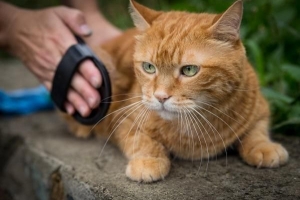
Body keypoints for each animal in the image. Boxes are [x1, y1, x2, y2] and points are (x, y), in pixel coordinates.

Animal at [65, 0, 288, 182]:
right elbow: (141, 141)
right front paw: (148, 161)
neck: (194, 126)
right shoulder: (123, 118)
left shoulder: (260, 107)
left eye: (189, 70)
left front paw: (264, 147)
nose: (160, 96)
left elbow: (257, 130)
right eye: (149, 67)